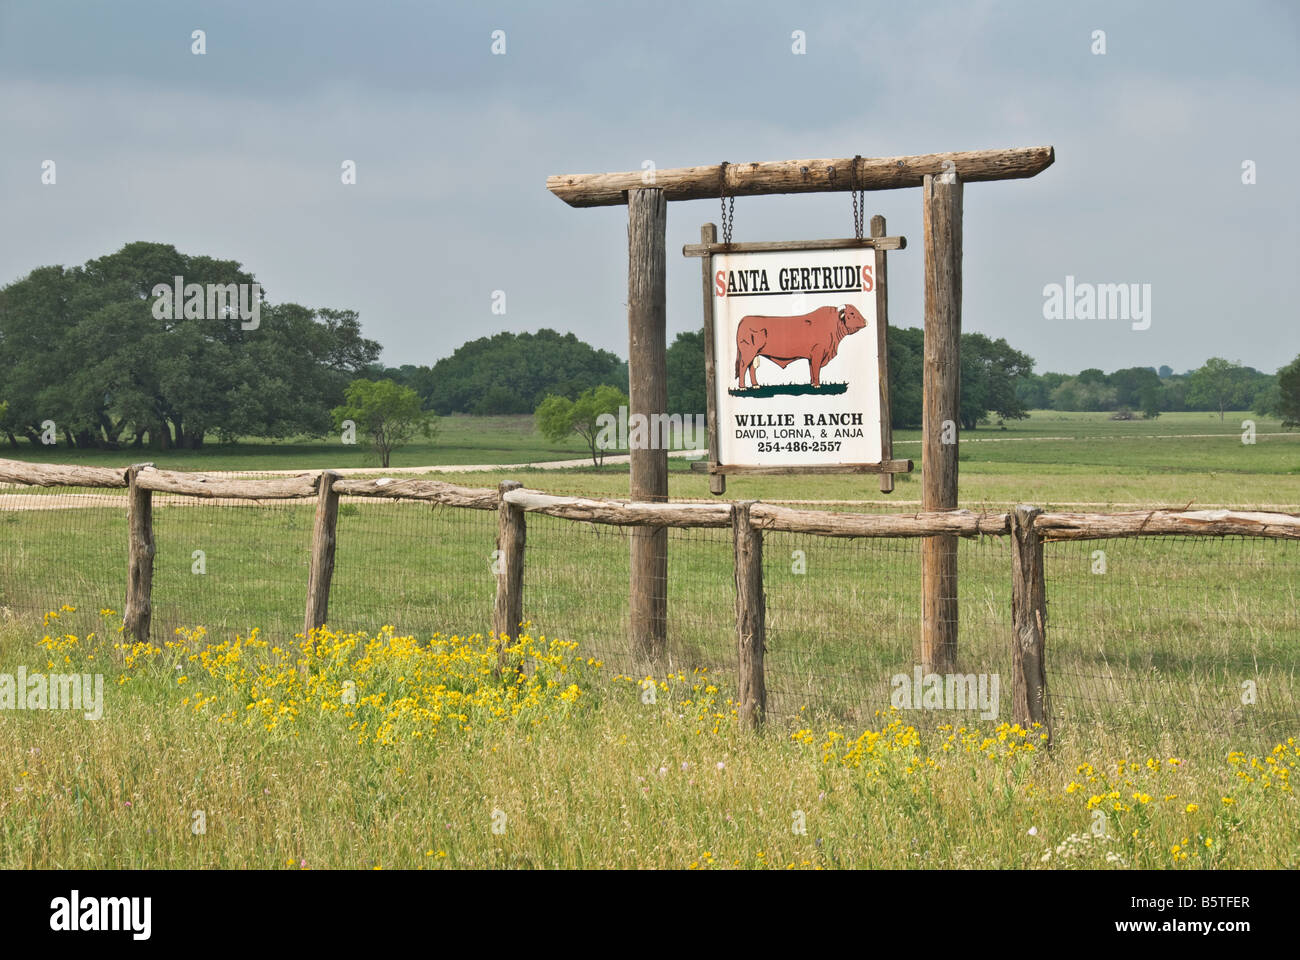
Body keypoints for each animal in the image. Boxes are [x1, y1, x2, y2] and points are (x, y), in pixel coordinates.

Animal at [734, 303, 868, 389]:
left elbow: (812, 369)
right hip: (748, 352)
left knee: (751, 368)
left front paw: (813, 383)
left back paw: (755, 385)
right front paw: (817, 385)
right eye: (852, 313)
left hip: (754, 354)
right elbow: (816, 369)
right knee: (743, 367)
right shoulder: (818, 352)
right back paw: (742, 387)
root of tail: (744, 319)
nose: (866, 321)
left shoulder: (811, 356)